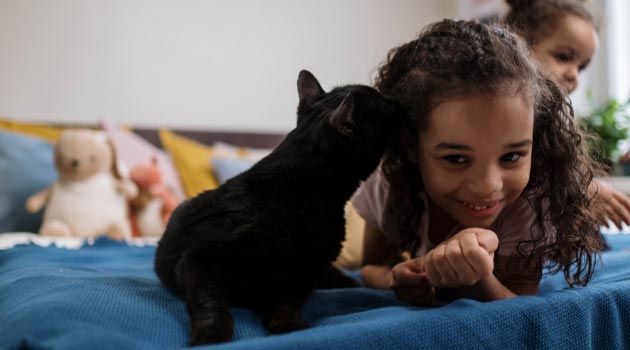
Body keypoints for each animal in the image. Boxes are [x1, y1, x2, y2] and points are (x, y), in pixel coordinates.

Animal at [156, 70, 408, 344]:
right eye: (382, 104)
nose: (396, 100)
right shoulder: (200, 259)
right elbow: (212, 304)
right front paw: (210, 336)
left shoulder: (302, 274)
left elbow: (286, 301)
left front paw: (286, 324)